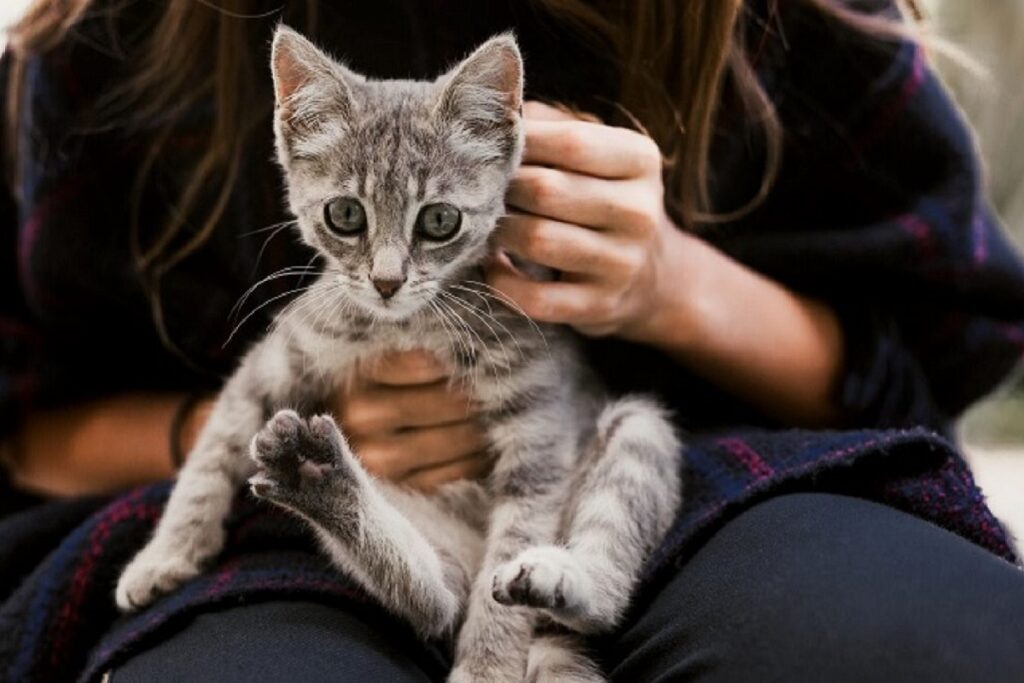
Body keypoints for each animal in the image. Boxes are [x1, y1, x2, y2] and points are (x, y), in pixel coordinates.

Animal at [116, 26, 684, 683]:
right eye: (345, 214)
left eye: (439, 220)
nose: (386, 282)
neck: (407, 327)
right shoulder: (276, 361)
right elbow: (210, 455)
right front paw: (166, 554)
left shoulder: (539, 428)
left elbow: (515, 543)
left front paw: (487, 668)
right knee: (434, 598)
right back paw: (322, 483)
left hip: (635, 434)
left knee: (589, 588)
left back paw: (556, 580)